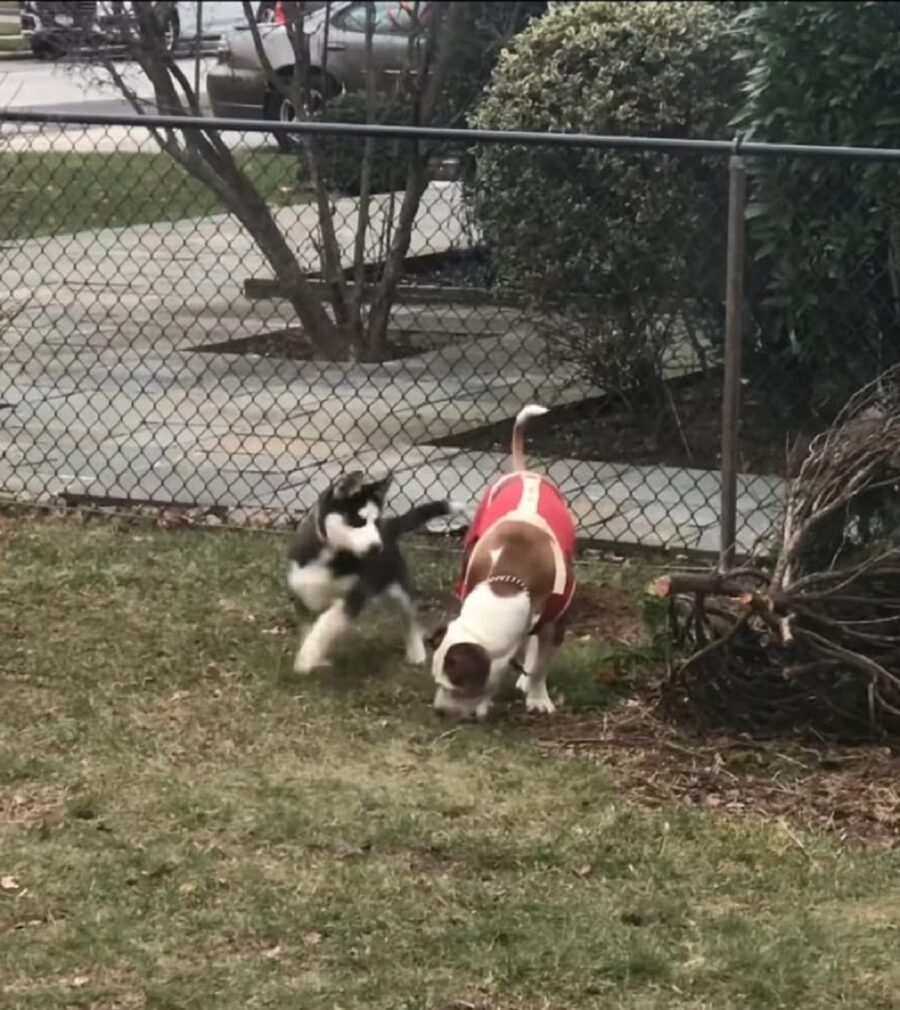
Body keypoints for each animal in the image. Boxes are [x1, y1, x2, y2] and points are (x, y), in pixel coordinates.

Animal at [286, 470, 460, 674]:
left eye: (375, 522)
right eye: (358, 521)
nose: (377, 547)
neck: (330, 555)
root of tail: (389, 529)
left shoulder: (353, 597)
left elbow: (325, 624)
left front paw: (306, 658)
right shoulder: (301, 594)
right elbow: (308, 629)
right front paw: (315, 657)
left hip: (397, 588)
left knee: (409, 617)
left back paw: (416, 652)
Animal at [430, 401, 577, 719]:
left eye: (459, 686)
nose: (440, 711)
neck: (507, 584)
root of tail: (525, 473)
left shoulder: (556, 624)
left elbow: (541, 665)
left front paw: (537, 696)